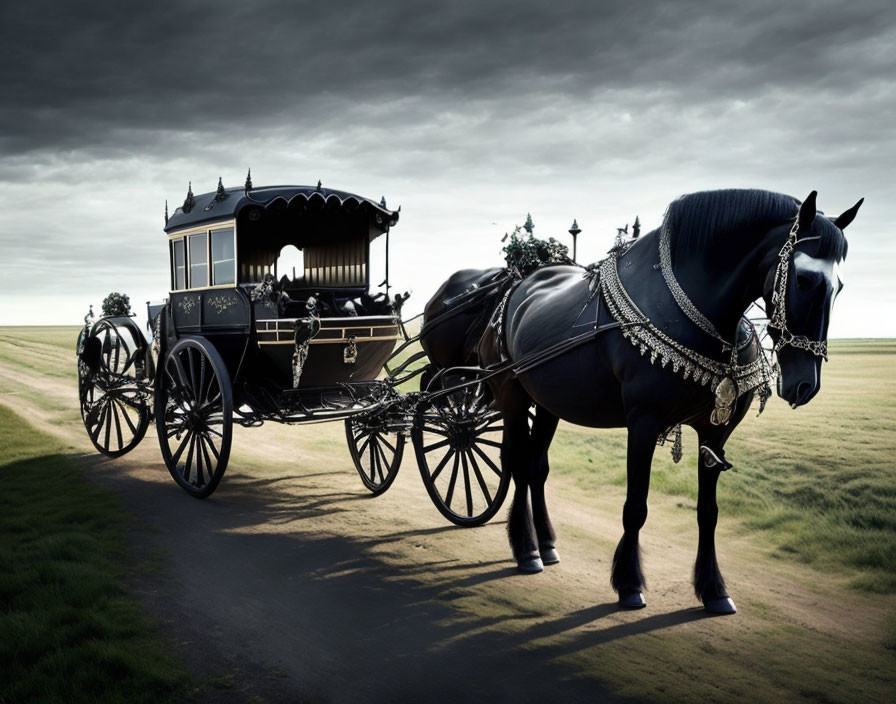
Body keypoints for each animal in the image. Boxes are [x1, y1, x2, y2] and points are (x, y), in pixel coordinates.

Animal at [428, 190, 860, 612]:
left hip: (548, 403)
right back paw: (527, 550)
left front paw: (713, 589)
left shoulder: (717, 431)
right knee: (516, 464)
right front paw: (629, 584)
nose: (805, 384)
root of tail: (511, 287)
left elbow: (708, 513)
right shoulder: (643, 420)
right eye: (804, 279)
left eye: (839, 287)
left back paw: (546, 544)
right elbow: (635, 506)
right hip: (510, 394)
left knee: (535, 467)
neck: (697, 312)